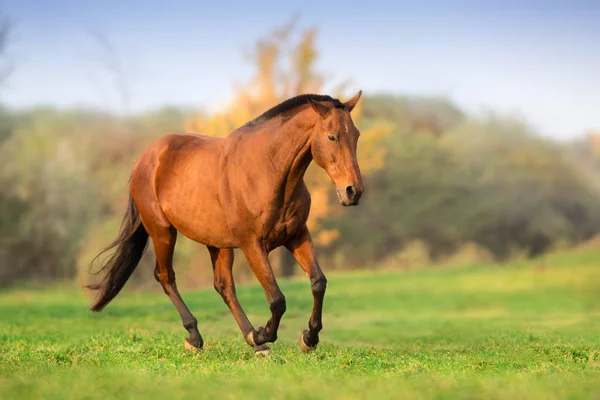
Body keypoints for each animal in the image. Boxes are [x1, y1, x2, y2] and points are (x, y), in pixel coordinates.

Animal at [86, 90, 364, 354]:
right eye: (332, 137)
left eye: (356, 135)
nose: (353, 191)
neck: (267, 169)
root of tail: (146, 158)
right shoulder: (252, 244)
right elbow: (277, 299)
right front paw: (264, 334)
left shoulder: (296, 235)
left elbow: (318, 282)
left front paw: (308, 338)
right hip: (163, 232)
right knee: (166, 277)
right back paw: (197, 337)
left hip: (217, 243)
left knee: (223, 286)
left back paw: (254, 343)